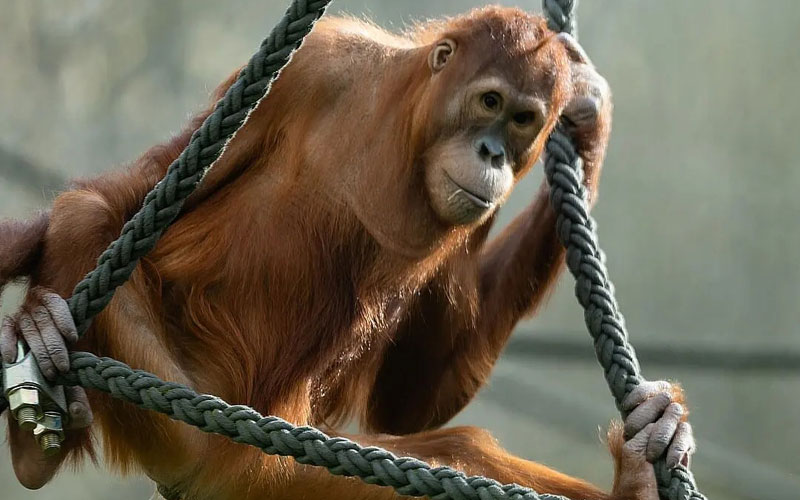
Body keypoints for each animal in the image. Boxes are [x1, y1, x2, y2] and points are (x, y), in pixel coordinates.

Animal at [0, 7, 693, 500]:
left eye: (524, 120)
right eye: (490, 101)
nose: (494, 153)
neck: (402, 129)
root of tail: (224, 468)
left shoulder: (478, 210)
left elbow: (411, 397)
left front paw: (590, 118)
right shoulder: (313, 65)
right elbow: (135, 190)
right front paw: (32, 306)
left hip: (284, 472)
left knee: (460, 454)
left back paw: (635, 480)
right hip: (185, 411)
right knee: (87, 214)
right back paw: (39, 427)